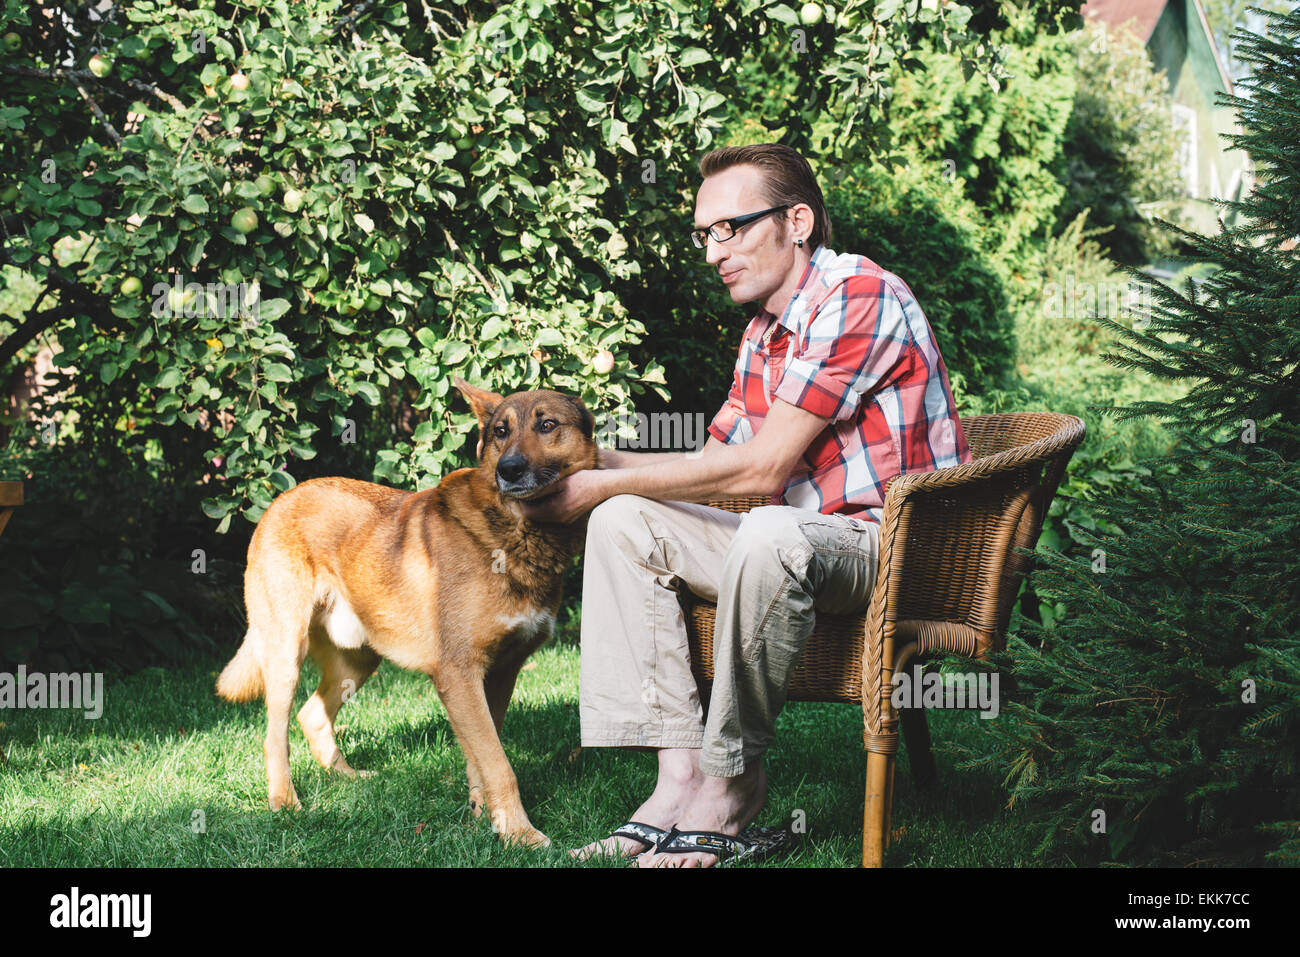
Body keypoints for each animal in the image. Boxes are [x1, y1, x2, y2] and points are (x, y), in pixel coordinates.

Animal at [215, 374, 595, 842]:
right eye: (500, 432)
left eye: (547, 425)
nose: (508, 470)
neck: (517, 531)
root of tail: (283, 498)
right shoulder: (460, 675)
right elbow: (499, 764)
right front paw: (520, 835)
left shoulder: (500, 673)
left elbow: (482, 758)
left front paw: (484, 817)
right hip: (287, 654)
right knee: (275, 735)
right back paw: (285, 802)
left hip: (357, 661)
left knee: (312, 715)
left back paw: (349, 780)